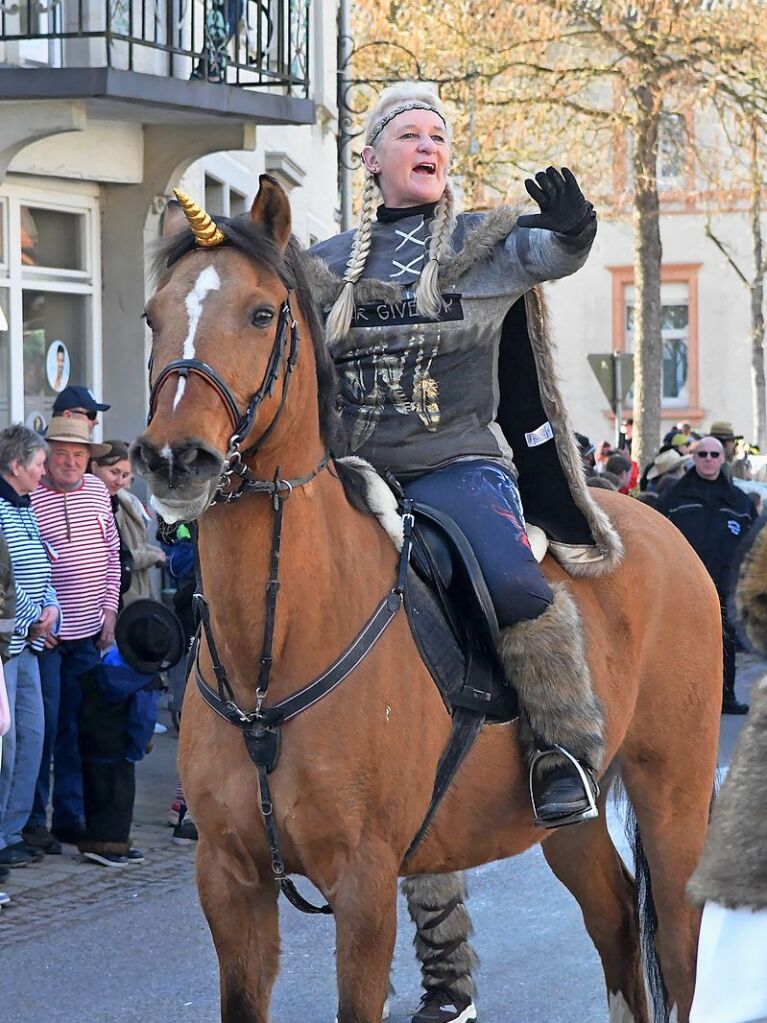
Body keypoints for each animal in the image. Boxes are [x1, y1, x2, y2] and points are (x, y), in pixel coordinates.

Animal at [133, 180, 728, 1023]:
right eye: (154, 316)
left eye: (260, 312)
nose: (175, 458)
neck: (273, 650)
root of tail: (662, 530)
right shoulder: (228, 878)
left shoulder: (363, 882)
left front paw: (565, 214)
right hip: (569, 822)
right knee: (614, 916)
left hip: (671, 794)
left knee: (676, 944)